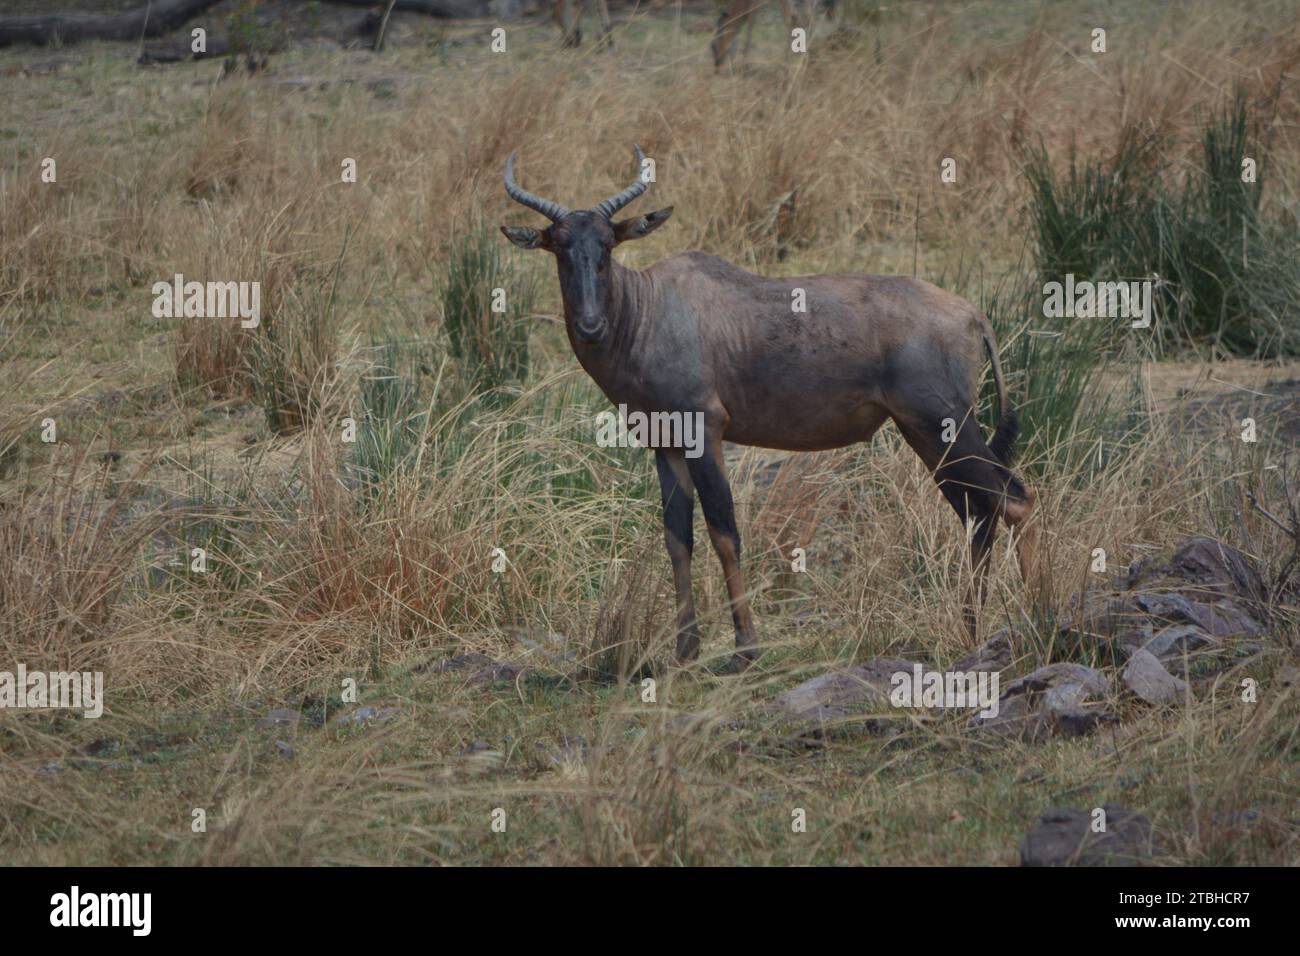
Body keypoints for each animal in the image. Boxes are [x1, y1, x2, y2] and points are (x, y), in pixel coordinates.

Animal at [501, 147, 1039, 669]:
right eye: (559, 245)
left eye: (608, 246)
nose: (590, 326)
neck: (651, 307)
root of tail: (972, 315)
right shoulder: (665, 444)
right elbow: (677, 538)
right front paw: (685, 653)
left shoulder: (705, 432)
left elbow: (724, 531)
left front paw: (746, 649)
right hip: (924, 434)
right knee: (977, 512)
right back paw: (970, 627)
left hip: (945, 424)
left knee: (1014, 499)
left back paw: (1036, 615)